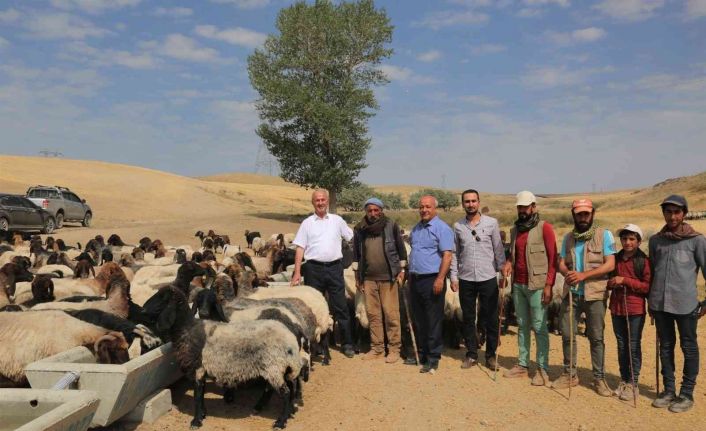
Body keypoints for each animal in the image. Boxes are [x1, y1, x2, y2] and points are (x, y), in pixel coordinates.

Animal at [142, 286, 304, 430]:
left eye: (162, 298)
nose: (142, 310)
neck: (186, 328)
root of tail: (290, 338)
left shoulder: (198, 368)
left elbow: (197, 396)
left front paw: (196, 421)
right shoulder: (202, 369)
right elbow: (201, 393)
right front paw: (203, 415)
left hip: (274, 366)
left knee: (285, 392)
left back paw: (280, 422)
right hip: (282, 367)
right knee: (290, 388)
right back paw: (287, 412)